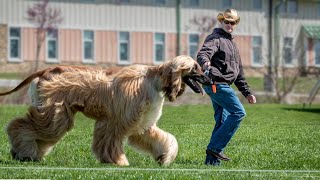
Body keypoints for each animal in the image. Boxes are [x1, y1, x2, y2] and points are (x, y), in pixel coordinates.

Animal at [1, 54, 214, 166]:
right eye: (196, 68)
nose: (210, 79)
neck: (155, 80)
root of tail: (45, 70)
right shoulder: (116, 120)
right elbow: (110, 142)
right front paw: (117, 161)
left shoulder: (141, 123)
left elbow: (163, 138)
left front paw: (165, 157)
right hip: (55, 113)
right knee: (20, 125)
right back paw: (25, 152)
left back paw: (29, 153)